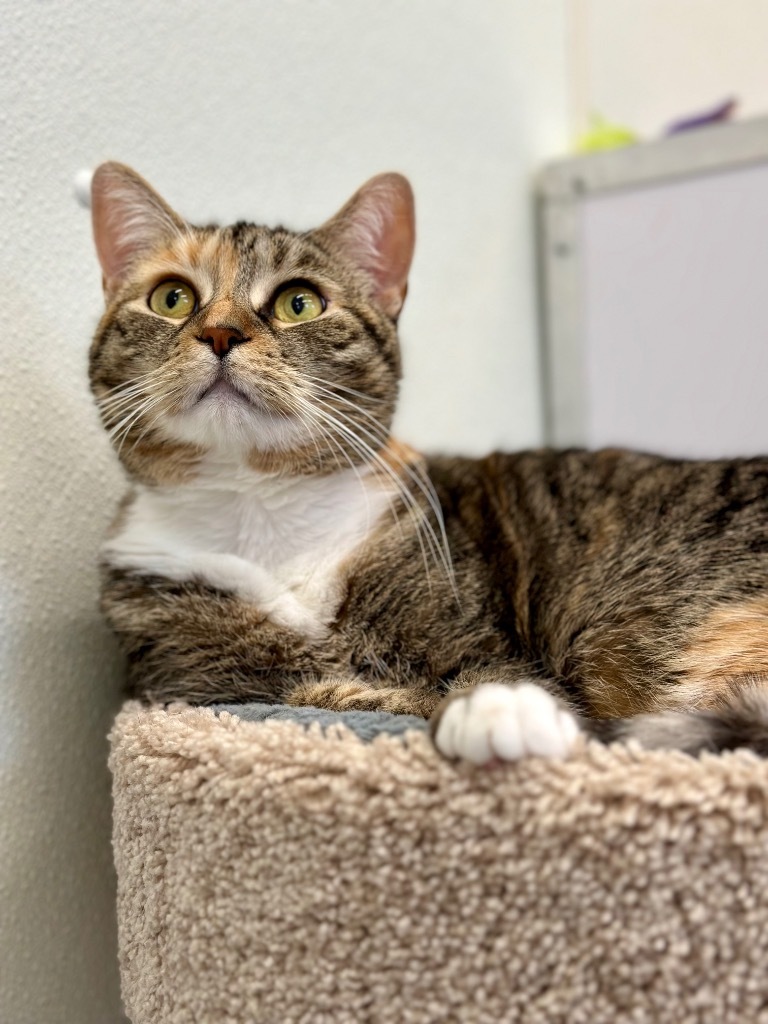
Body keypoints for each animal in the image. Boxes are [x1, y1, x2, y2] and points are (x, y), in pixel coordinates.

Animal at [87, 163, 768, 765]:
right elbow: (332, 692)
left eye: (298, 303)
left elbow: (467, 679)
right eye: (172, 298)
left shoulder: (478, 640)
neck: (257, 507)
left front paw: (499, 709)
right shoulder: (198, 687)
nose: (221, 333)